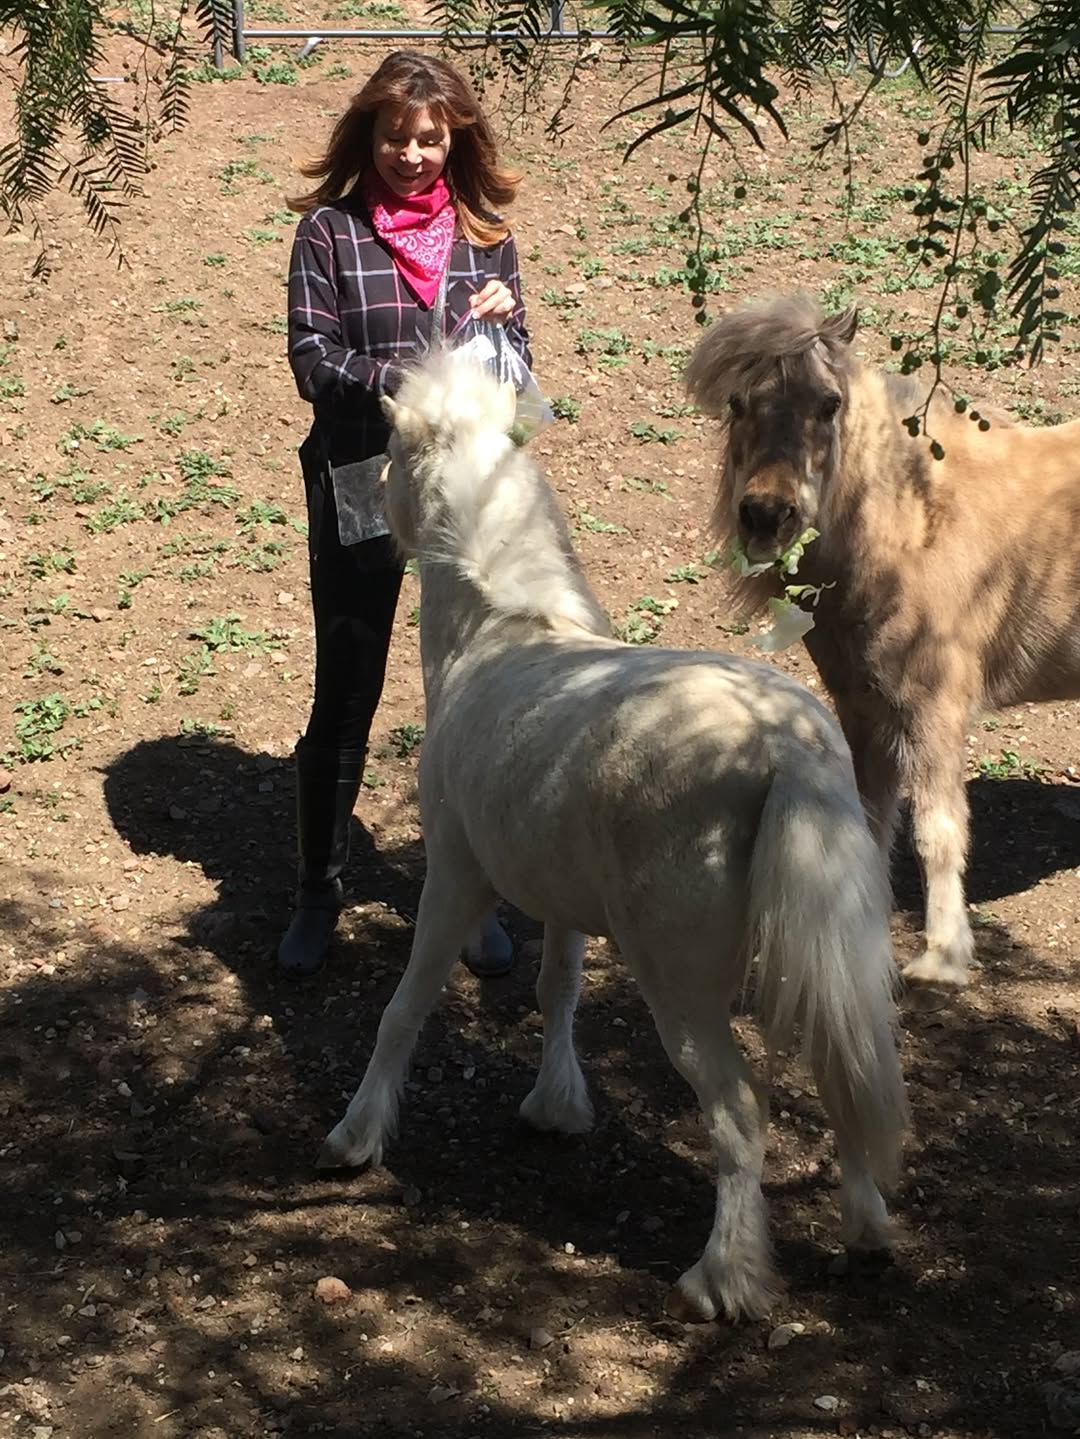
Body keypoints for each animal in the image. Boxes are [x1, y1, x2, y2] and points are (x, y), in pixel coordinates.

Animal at [315, 350, 907, 1322]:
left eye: (393, 447)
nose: (370, 518)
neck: (502, 633)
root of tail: (782, 743)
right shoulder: (562, 900)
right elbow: (557, 991)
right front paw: (557, 1106)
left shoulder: (455, 880)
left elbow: (404, 1007)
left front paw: (355, 1134)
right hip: (815, 958)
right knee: (842, 1074)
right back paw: (864, 1230)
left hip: (683, 990)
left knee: (740, 1114)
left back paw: (721, 1279)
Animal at [687, 293, 1080, 988]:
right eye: (737, 402)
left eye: (828, 404)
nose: (766, 516)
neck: (913, 524)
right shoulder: (864, 709)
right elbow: (870, 822)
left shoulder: (935, 708)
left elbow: (937, 831)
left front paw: (942, 958)